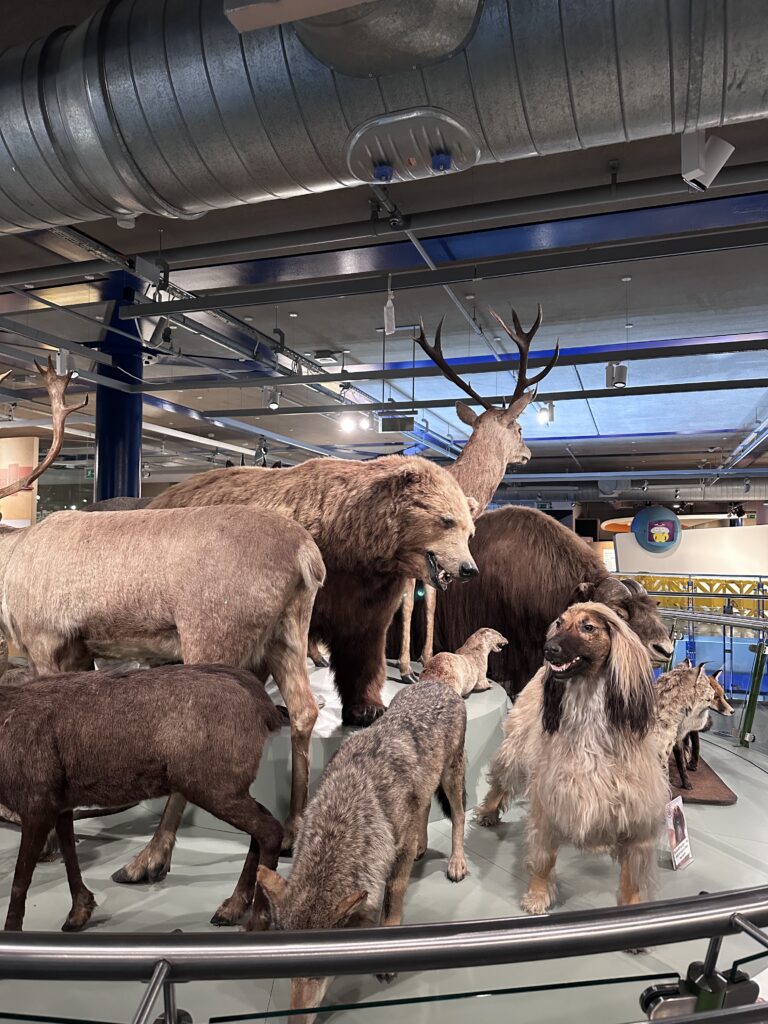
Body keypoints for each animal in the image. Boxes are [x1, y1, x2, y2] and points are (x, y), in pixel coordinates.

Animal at [0, 664, 283, 932]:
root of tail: (266, 710)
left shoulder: (37, 804)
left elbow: (20, 880)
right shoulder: (62, 803)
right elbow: (70, 853)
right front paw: (79, 913)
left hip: (215, 787)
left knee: (270, 830)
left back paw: (255, 921)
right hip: (229, 789)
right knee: (262, 827)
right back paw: (232, 908)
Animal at [396, 305, 559, 683]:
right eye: (519, 427)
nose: (529, 453)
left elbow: (432, 602)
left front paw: (425, 658)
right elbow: (410, 602)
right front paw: (404, 667)